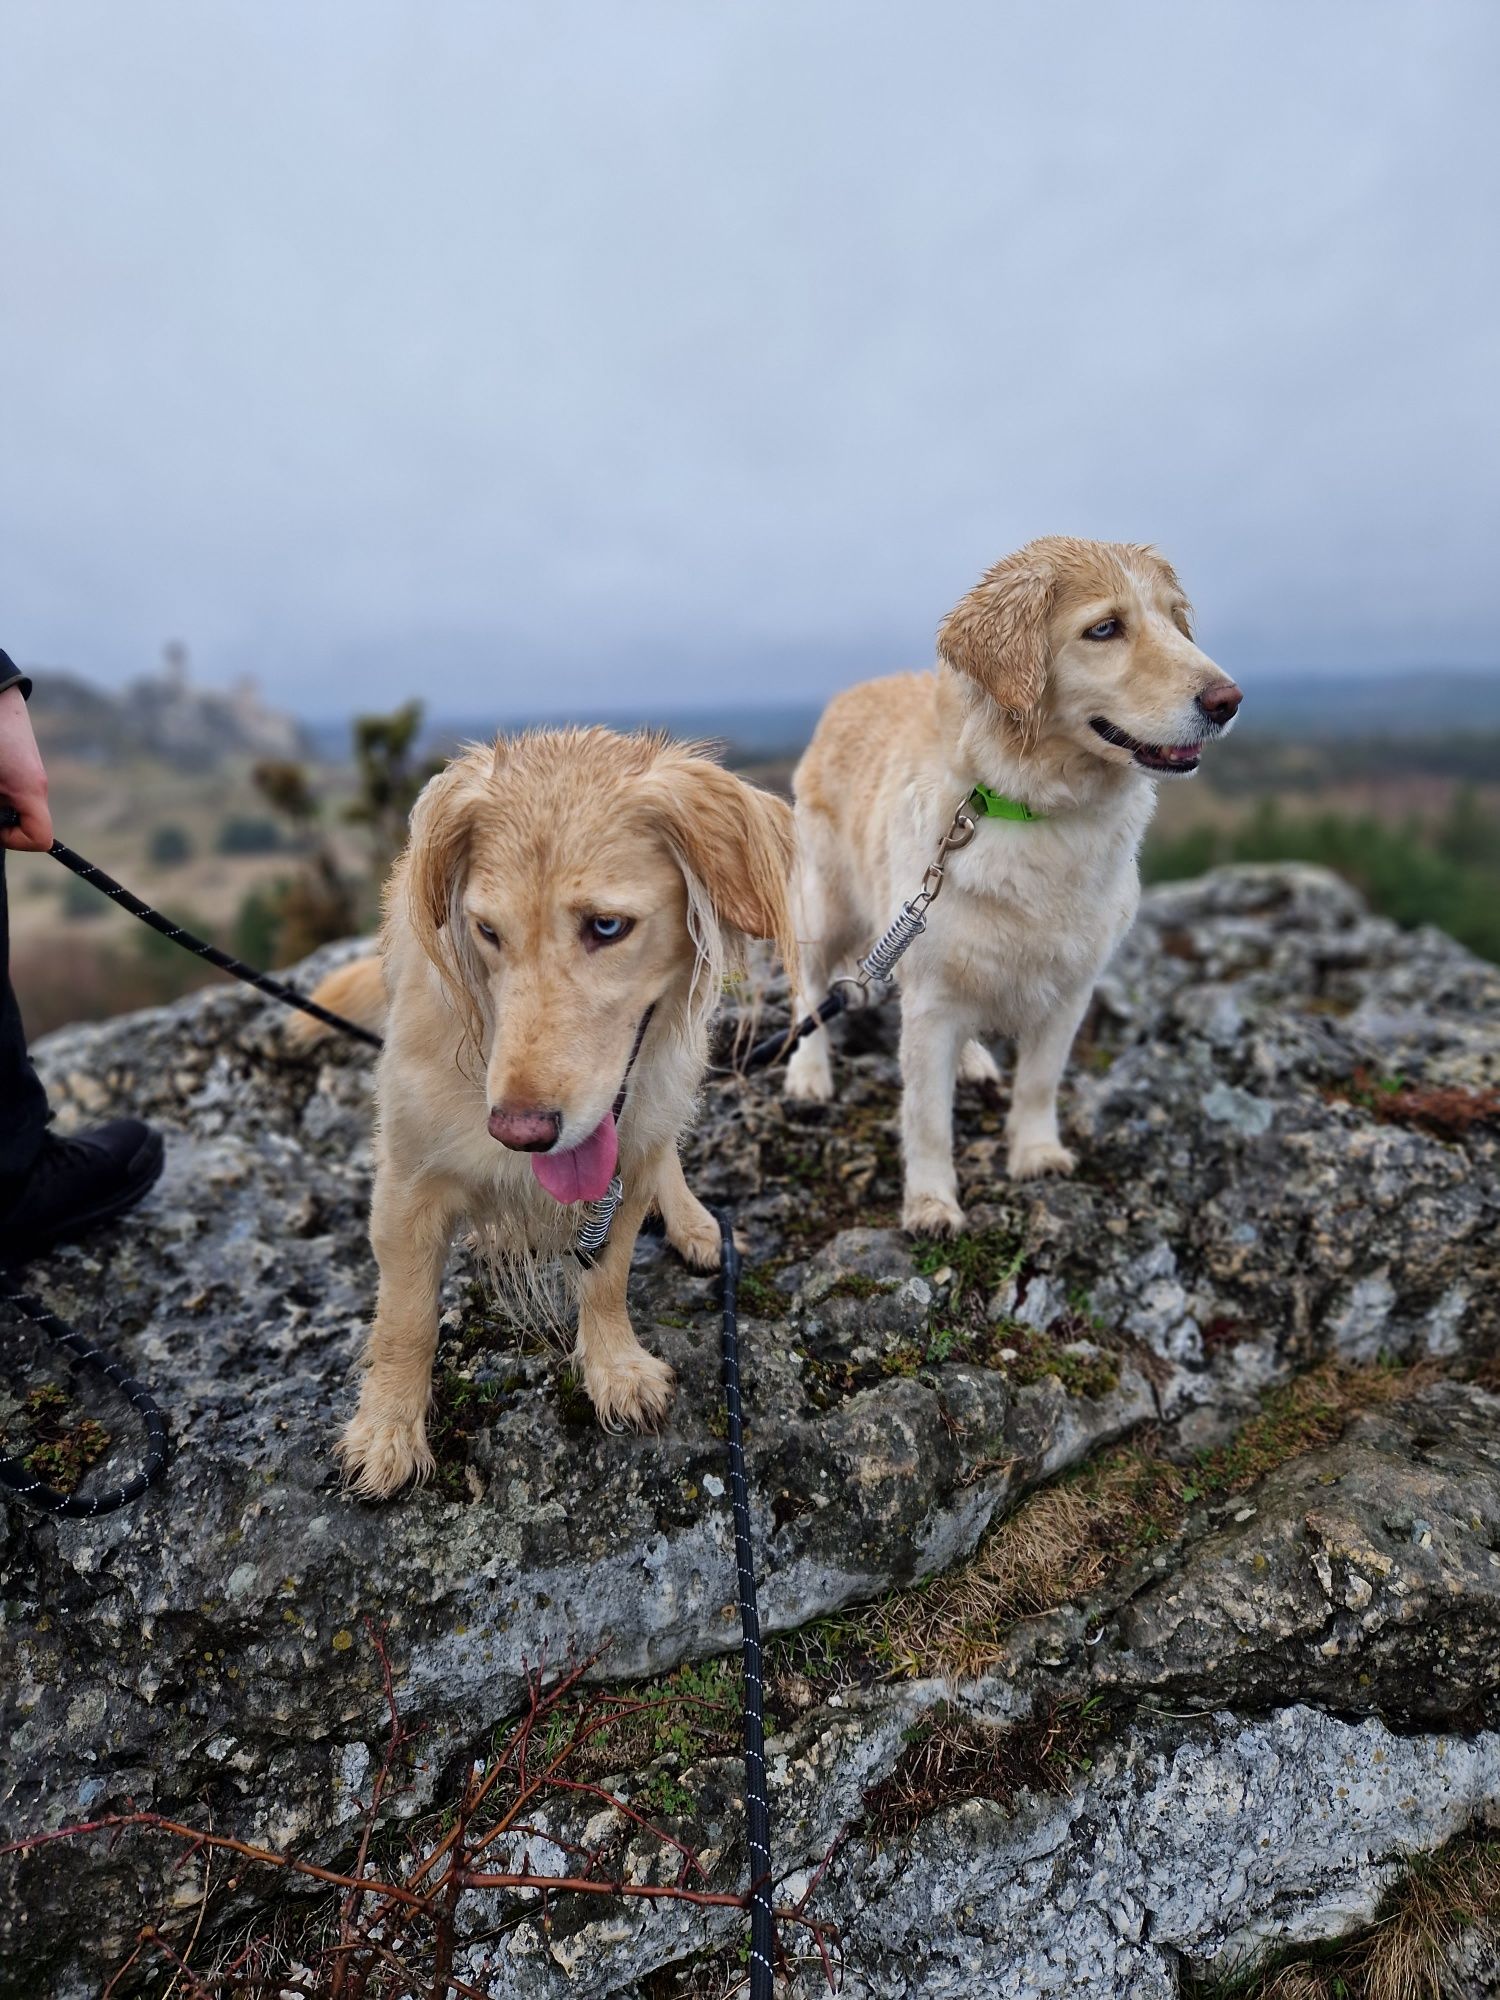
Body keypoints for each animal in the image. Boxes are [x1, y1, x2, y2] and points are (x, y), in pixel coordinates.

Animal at [300, 728, 804, 1496]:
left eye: (607, 926)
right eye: (486, 930)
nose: (520, 1132)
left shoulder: (625, 1166)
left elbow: (609, 1277)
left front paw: (615, 1367)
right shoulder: (406, 1182)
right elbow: (405, 1320)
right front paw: (387, 1429)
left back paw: (692, 1220)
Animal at [788, 532, 1248, 1232]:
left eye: (1174, 620)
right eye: (1105, 628)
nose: (1228, 701)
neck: (1029, 808)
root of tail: (848, 694)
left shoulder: (1069, 992)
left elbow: (1037, 1083)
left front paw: (1035, 1153)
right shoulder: (931, 1000)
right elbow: (927, 1117)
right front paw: (932, 1202)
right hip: (828, 907)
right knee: (809, 990)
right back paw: (807, 1073)